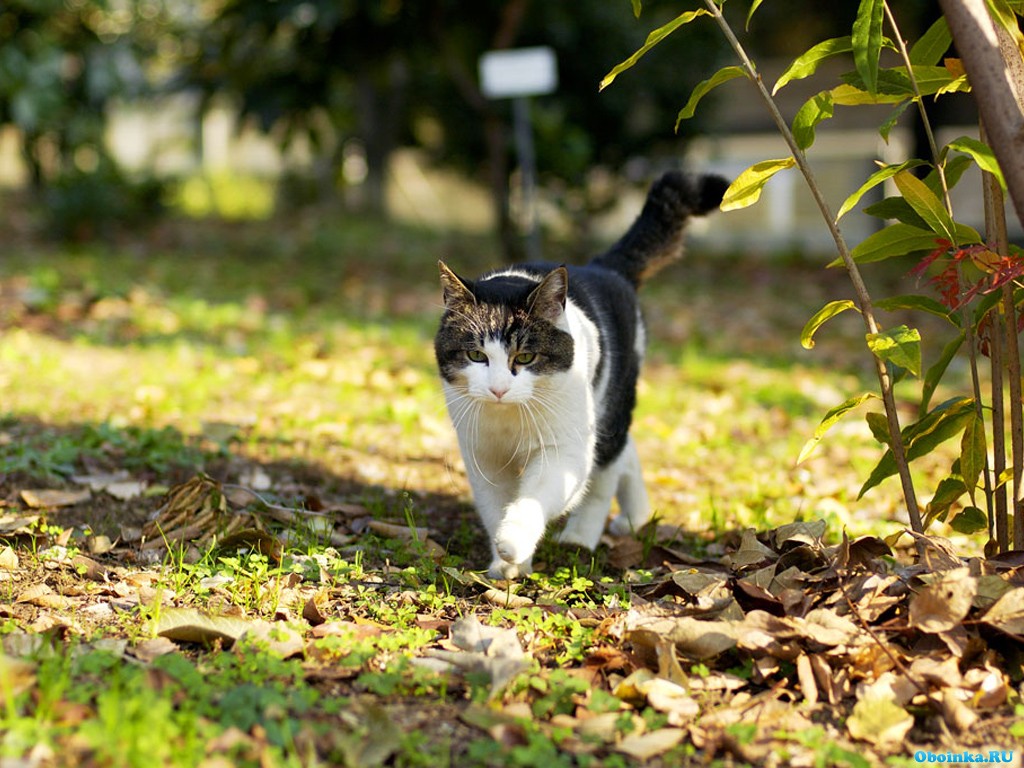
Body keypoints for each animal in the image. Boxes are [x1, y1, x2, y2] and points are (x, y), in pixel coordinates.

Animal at [432, 169, 729, 577]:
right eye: (476, 355)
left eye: (525, 356)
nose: (498, 390)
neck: (511, 421)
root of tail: (604, 267)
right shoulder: (483, 457)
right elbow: (494, 507)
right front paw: (505, 566)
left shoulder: (566, 449)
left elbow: (539, 494)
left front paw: (514, 542)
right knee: (625, 453)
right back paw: (636, 516)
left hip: (609, 403)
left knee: (604, 471)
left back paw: (581, 537)